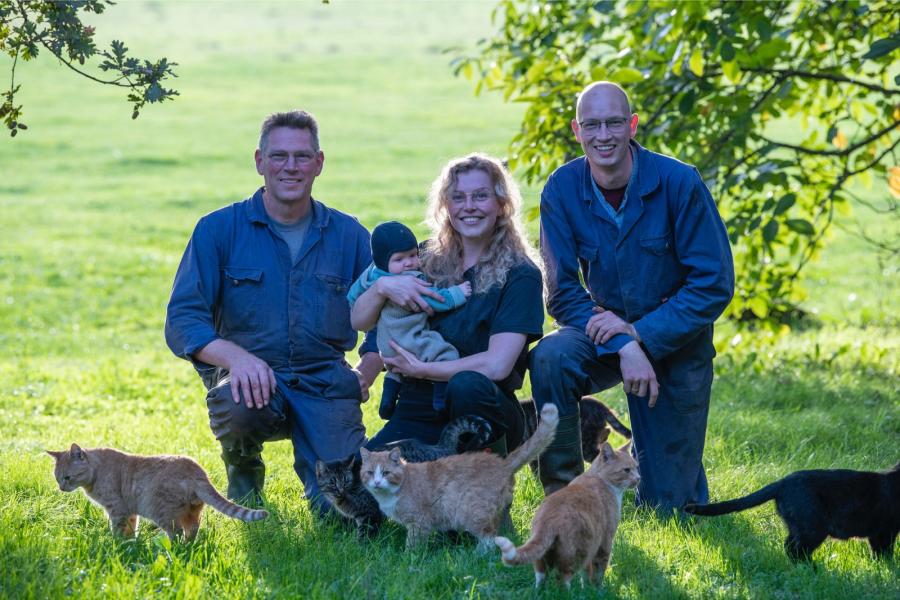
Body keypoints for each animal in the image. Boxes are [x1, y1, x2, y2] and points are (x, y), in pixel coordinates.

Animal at [48, 442, 268, 540]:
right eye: (57, 478)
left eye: (67, 478)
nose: (61, 488)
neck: (96, 471)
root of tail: (197, 472)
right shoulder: (130, 511)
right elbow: (131, 528)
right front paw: (130, 543)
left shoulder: (117, 510)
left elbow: (117, 529)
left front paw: (116, 544)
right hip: (191, 512)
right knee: (192, 529)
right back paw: (189, 546)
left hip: (161, 512)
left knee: (176, 532)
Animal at [314, 414, 492, 536]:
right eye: (332, 482)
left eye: (346, 480)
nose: (340, 490)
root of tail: (440, 446)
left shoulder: (369, 513)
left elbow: (365, 535)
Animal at [356, 404, 556, 548]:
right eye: (370, 473)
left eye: (386, 473)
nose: (376, 482)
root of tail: (501, 463)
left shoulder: (418, 521)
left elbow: (412, 545)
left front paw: (409, 561)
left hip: (471, 511)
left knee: (489, 537)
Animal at [492, 438, 640, 588]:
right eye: (627, 470)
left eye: (636, 467)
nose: (638, 478)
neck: (599, 478)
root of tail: (547, 519)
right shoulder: (605, 541)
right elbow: (598, 572)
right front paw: (598, 589)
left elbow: (586, 573)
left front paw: (586, 588)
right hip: (578, 552)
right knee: (562, 579)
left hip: (545, 554)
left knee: (541, 576)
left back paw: (541, 590)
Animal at [684, 462, 896, 560]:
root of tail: (782, 482)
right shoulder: (886, 530)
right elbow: (885, 551)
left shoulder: (878, 532)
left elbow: (878, 550)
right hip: (814, 527)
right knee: (796, 550)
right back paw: (813, 571)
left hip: (799, 525)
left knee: (789, 546)